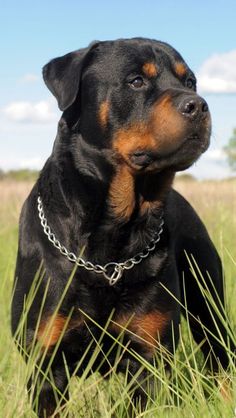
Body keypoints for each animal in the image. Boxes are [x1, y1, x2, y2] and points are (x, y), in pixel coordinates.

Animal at [11, 37, 234, 416]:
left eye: (190, 82)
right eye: (136, 81)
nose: (199, 105)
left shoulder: (147, 356)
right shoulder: (46, 362)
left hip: (209, 301)